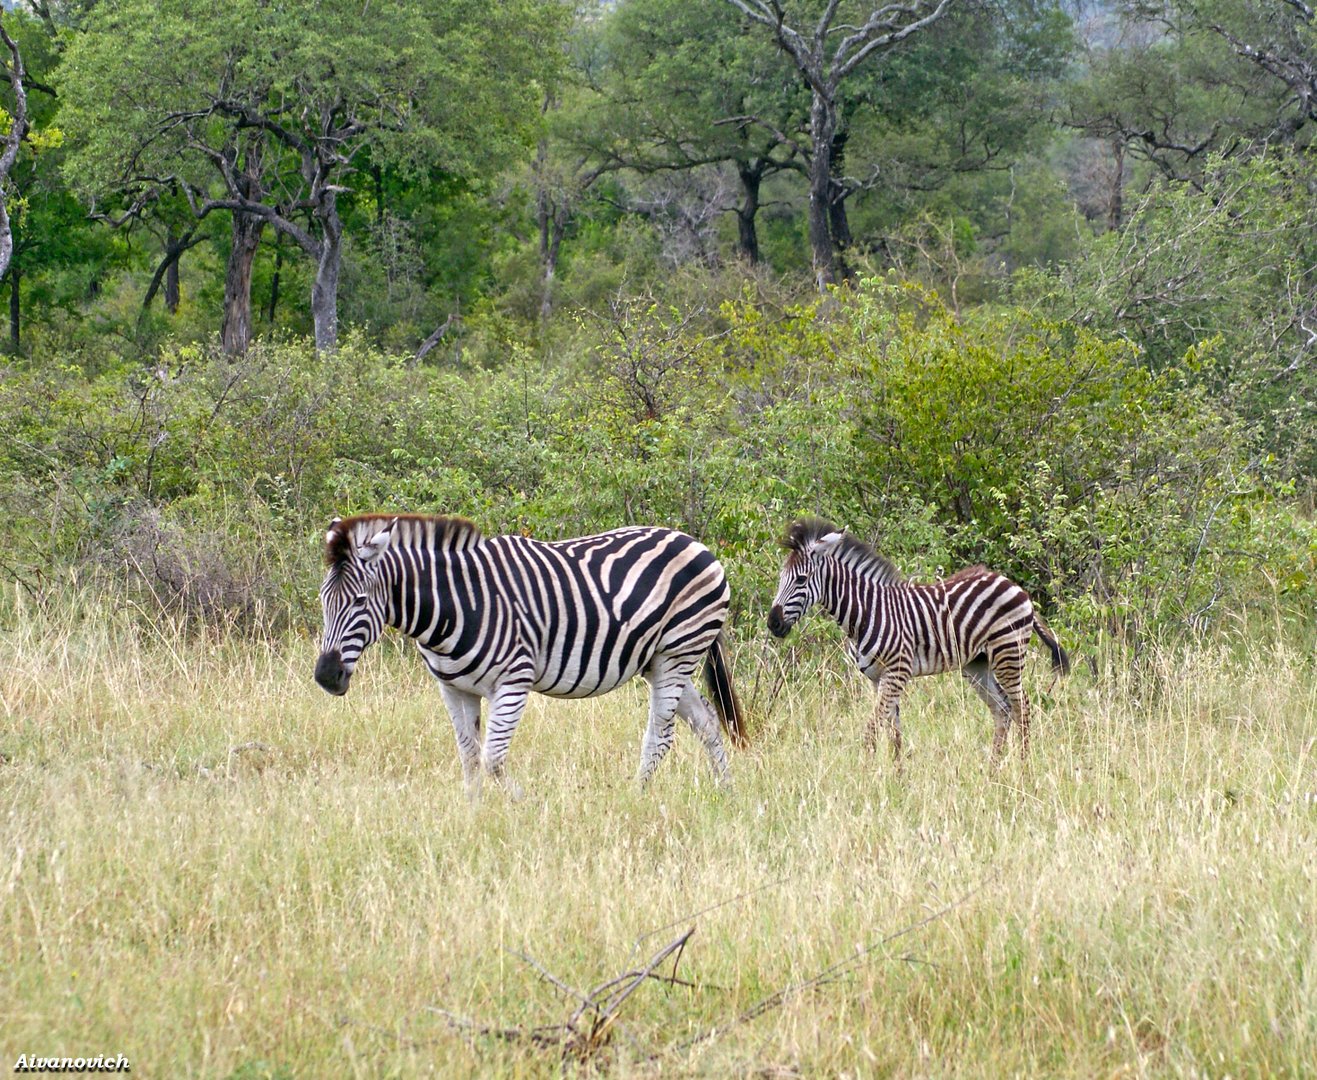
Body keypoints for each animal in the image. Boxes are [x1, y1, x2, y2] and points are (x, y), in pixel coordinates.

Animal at [312, 511, 748, 795]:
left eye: (360, 601)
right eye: (323, 600)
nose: (326, 676)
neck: (454, 604)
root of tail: (698, 545)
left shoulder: (512, 682)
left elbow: (493, 758)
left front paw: (521, 804)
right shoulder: (454, 688)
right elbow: (470, 758)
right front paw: (472, 812)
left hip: (679, 650)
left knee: (661, 733)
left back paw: (635, 796)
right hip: (660, 661)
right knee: (707, 721)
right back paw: (726, 791)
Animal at [769, 521, 1064, 758]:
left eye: (801, 580)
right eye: (781, 578)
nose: (773, 623)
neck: (867, 611)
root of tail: (1011, 583)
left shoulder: (897, 672)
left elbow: (871, 732)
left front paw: (866, 777)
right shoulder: (878, 679)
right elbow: (893, 733)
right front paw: (896, 781)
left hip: (1008, 653)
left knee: (1022, 707)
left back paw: (1023, 771)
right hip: (977, 664)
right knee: (1002, 709)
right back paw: (994, 773)